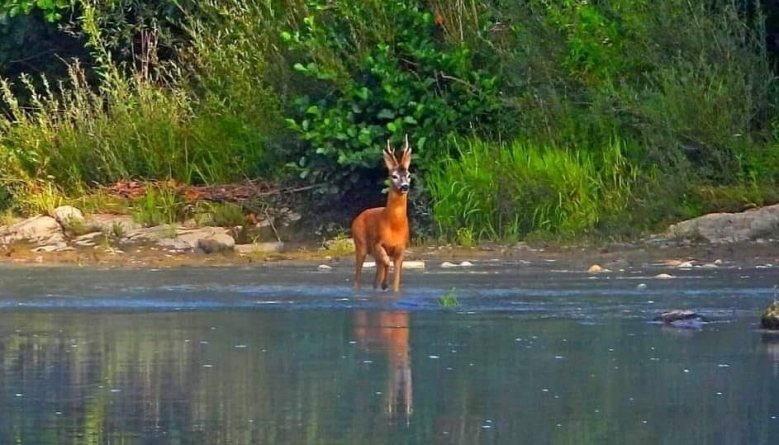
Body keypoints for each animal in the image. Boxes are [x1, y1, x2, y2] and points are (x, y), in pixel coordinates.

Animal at [354, 134, 414, 290]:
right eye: (394, 176)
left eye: (408, 175)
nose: (405, 186)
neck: (394, 225)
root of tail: (358, 216)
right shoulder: (377, 243)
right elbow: (386, 262)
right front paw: (384, 282)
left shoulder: (401, 247)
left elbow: (396, 281)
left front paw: (387, 285)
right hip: (360, 243)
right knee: (357, 277)